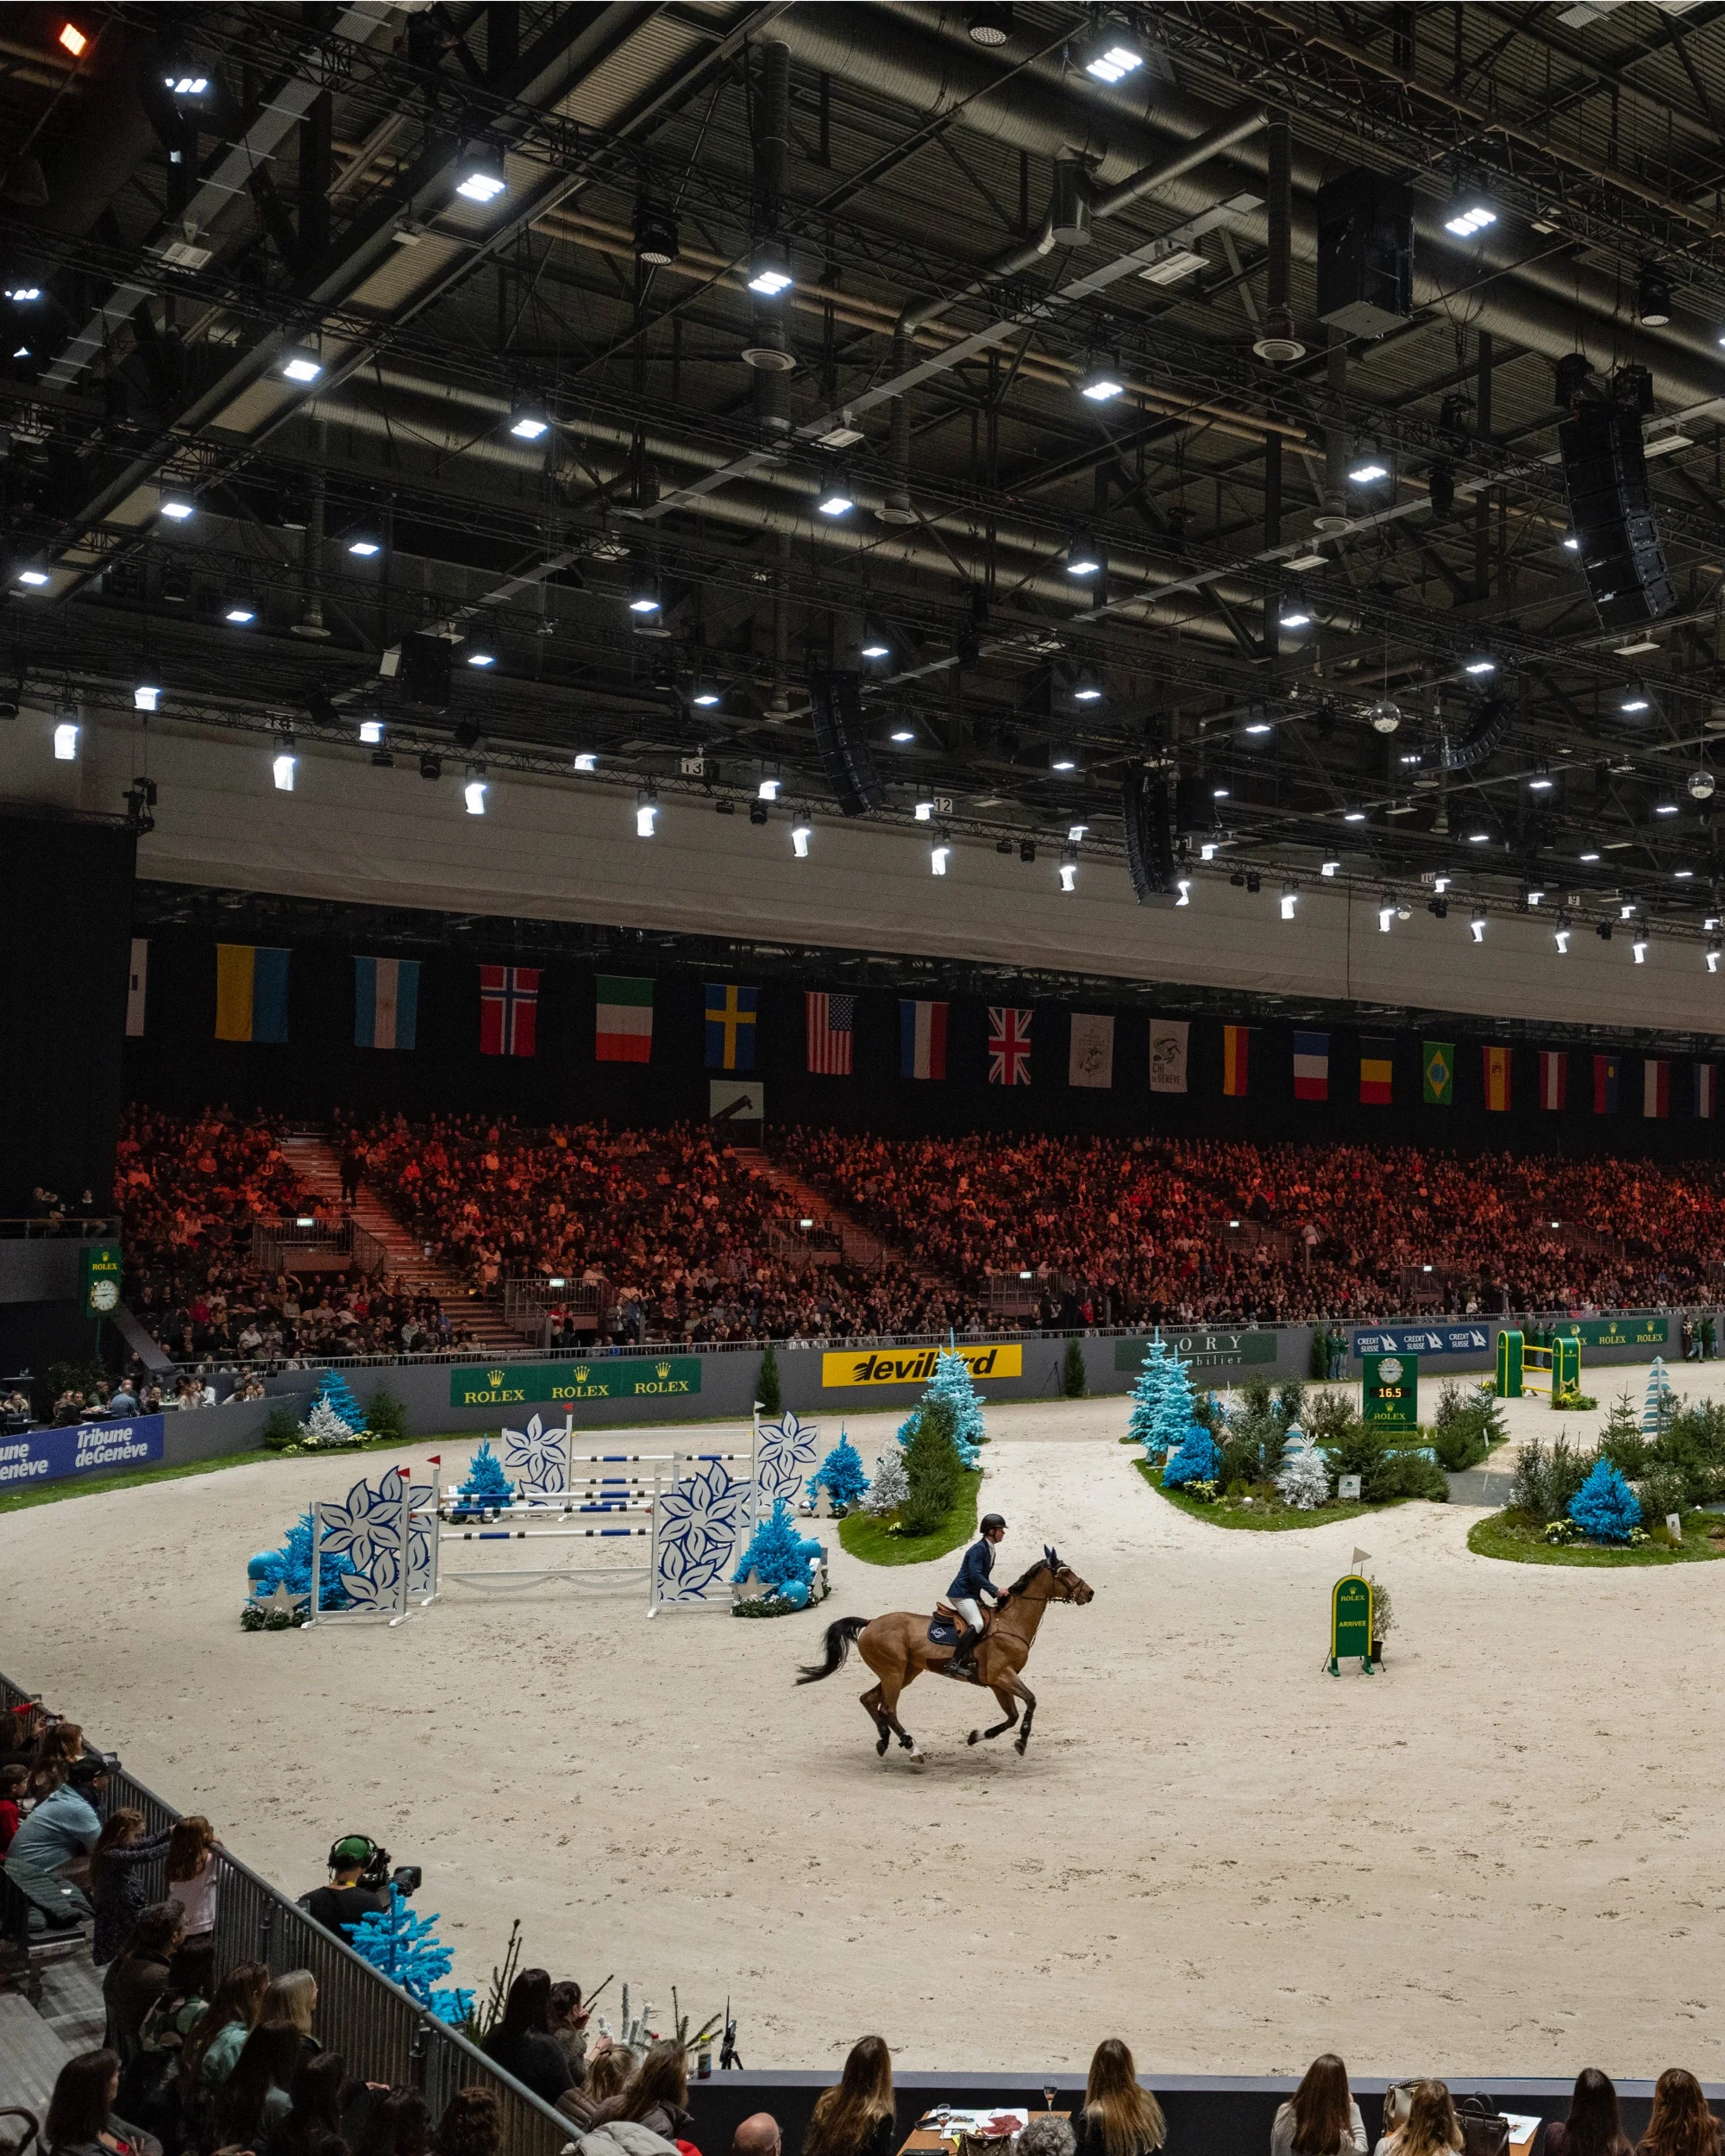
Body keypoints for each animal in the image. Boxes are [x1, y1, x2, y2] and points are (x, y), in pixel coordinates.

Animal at [794, 1544, 1091, 1759]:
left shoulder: (997, 1682)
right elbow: (1030, 1701)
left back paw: (885, 1740)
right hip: (893, 1672)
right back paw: (912, 1748)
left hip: (905, 1672)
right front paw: (1022, 1740)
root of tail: (871, 1622)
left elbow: (1012, 1716)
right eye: (1065, 1574)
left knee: (869, 1700)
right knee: (887, 1709)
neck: (1011, 1622)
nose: (1089, 1593)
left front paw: (976, 1737)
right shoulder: (1002, 1675)